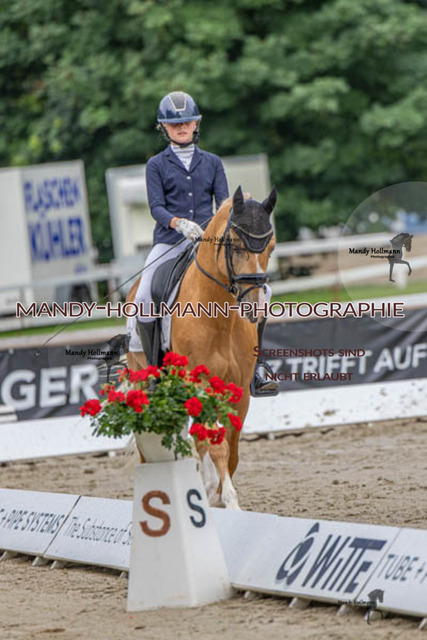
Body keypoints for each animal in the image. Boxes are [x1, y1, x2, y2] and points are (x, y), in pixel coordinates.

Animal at [126, 186, 276, 508]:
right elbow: (217, 444)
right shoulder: (200, 383)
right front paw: (229, 501)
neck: (219, 317)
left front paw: (217, 495)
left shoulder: (239, 390)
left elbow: (231, 448)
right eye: (235, 244)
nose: (255, 307)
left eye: (270, 247)